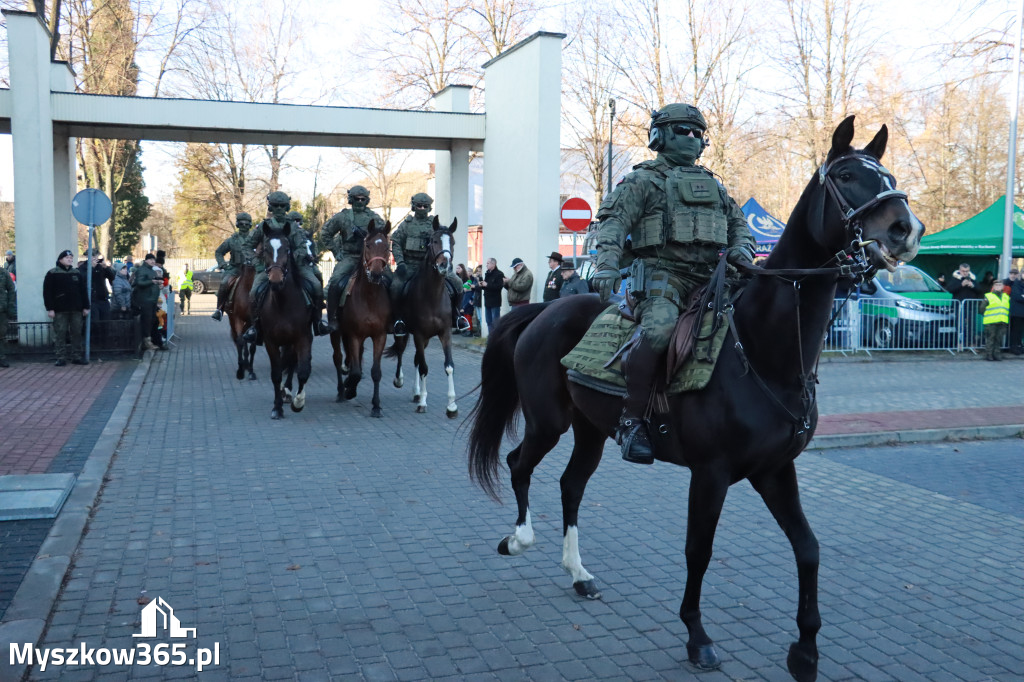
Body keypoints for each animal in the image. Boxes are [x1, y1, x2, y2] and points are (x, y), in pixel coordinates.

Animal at [256, 220, 311, 417]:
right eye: (265, 249)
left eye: (287, 248)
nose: (275, 280)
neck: (282, 303)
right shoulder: (270, 341)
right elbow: (276, 373)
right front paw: (277, 408)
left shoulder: (302, 338)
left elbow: (302, 371)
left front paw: (298, 402)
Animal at [331, 220, 391, 417]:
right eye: (368, 245)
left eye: (386, 247)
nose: (376, 274)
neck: (369, 297)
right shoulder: (354, 336)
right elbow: (355, 372)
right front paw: (349, 387)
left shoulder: (380, 336)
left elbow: (375, 371)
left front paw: (376, 406)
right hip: (336, 333)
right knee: (338, 358)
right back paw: (341, 391)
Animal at [385, 218, 458, 417]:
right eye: (434, 241)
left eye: (453, 242)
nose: (445, 266)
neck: (432, 295)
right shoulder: (419, 334)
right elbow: (424, 367)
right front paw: (423, 403)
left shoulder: (445, 333)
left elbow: (449, 366)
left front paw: (452, 406)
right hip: (404, 332)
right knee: (402, 352)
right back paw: (400, 381)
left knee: (417, 359)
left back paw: (417, 392)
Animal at [468, 118, 925, 679]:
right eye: (845, 175)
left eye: (890, 177)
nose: (906, 229)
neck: (763, 350)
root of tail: (543, 310)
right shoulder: (711, 474)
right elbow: (698, 551)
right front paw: (697, 635)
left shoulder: (775, 470)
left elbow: (809, 548)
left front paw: (805, 650)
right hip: (548, 422)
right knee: (518, 464)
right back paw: (517, 539)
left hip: (591, 430)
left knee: (571, 485)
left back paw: (578, 573)